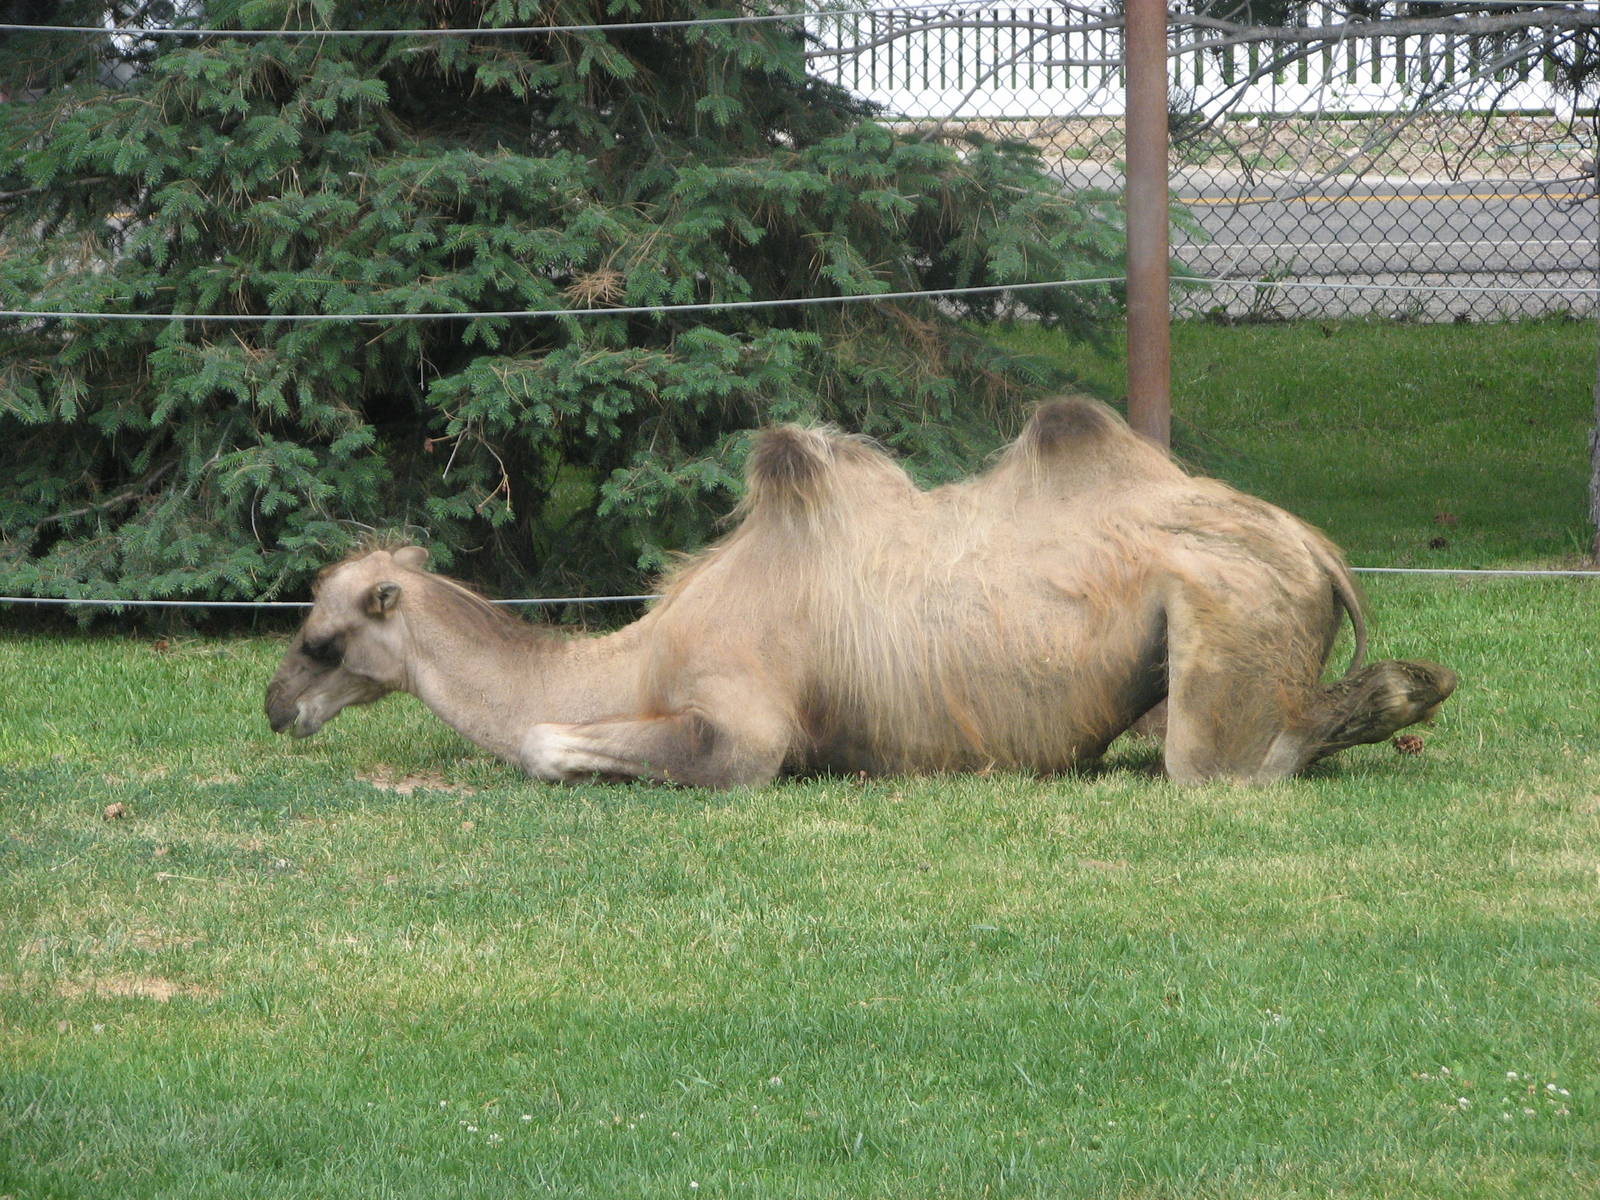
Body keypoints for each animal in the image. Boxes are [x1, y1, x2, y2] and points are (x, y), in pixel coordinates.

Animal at [265, 396, 1456, 786]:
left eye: (322, 638)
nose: (275, 705)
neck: (636, 657)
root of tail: (1317, 552)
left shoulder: (743, 726)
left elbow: (545, 740)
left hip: (1222, 627)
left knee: (1235, 758)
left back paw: (1409, 688)